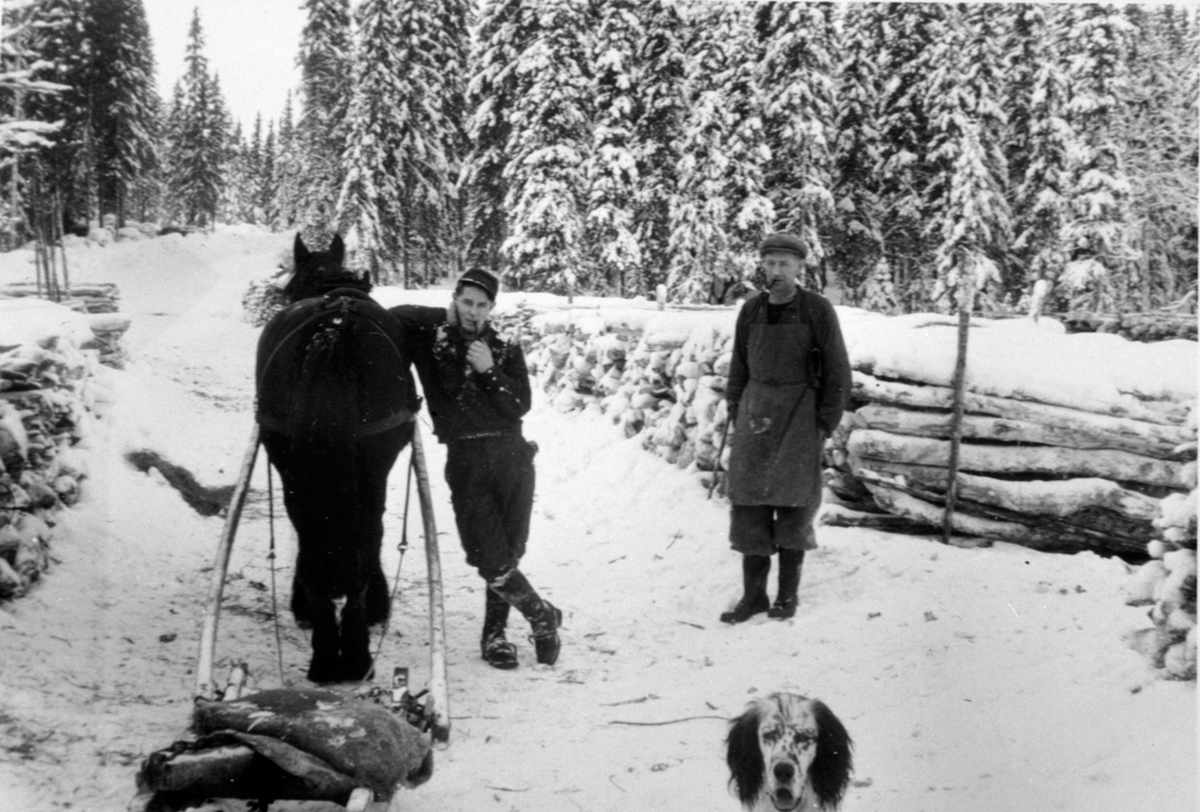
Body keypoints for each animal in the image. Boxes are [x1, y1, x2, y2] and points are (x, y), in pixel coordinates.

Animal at [255, 233, 420, 686]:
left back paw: (331, 650)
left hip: (298, 466)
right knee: (362, 537)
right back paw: (350, 651)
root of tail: (333, 333)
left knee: (319, 537)